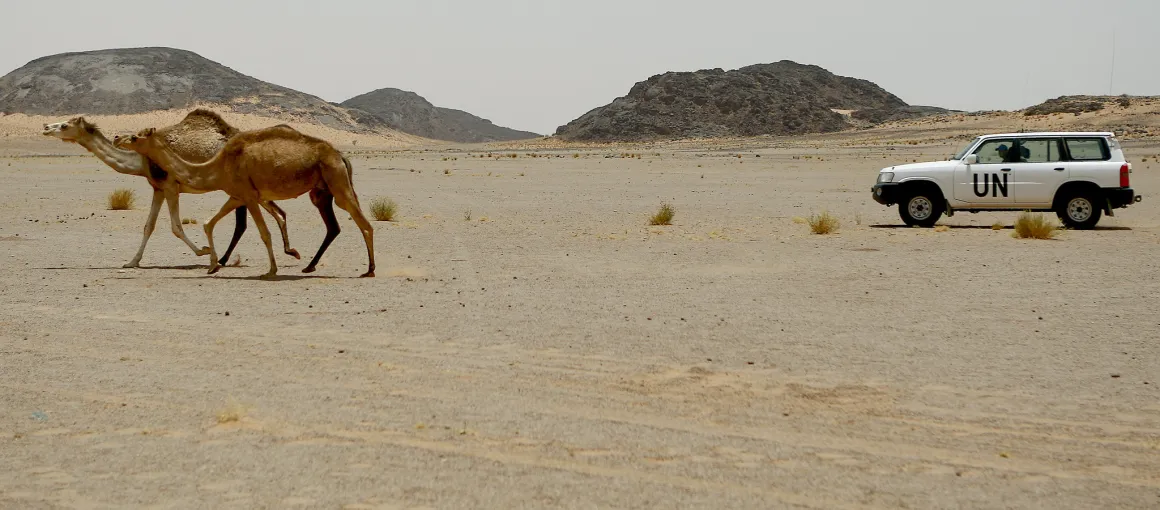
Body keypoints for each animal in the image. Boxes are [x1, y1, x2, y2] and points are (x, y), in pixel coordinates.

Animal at [42, 110, 299, 267]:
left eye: (64, 125)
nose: (45, 127)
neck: (142, 161)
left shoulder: (170, 186)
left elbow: (176, 226)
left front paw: (203, 251)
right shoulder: (157, 188)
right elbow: (148, 226)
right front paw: (132, 262)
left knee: (248, 222)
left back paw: (226, 259)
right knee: (277, 213)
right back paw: (287, 251)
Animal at [116, 124, 375, 279]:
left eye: (135, 136)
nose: (117, 136)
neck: (217, 166)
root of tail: (339, 155)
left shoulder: (250, 196)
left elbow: (264, 233)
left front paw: (271, 270)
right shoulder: (236, 195)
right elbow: (209, 223)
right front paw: (212, 264)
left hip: (337, 181)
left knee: (364, 224)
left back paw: (369, 270)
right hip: (322, 191)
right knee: (335, 225)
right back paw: (309, 265)